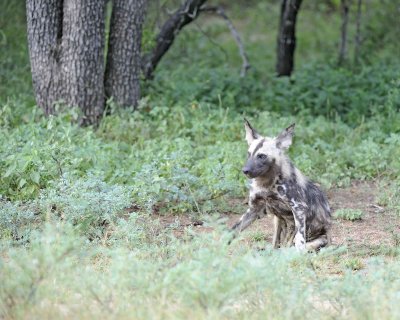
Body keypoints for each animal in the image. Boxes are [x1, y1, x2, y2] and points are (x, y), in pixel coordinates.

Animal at [231, 119, 332, 251]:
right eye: (249, 154)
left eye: (262, 156)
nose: (245, 170)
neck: (267, 183)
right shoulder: (254, 210)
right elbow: (233, 230)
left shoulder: (299, 209)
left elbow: (299, 240)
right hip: (276, 221)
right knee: (277, 245)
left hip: (318, 238)